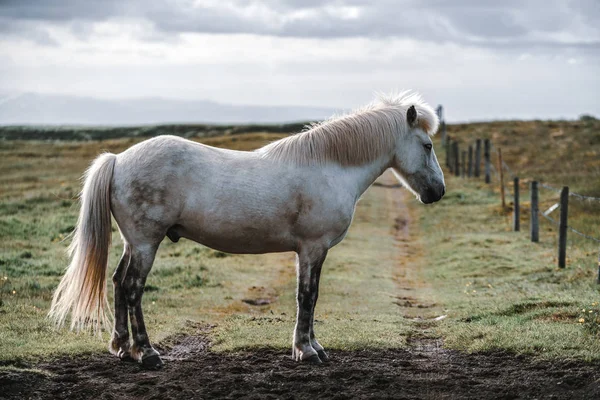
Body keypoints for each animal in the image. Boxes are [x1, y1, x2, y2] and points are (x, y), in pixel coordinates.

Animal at [49, 90, 446, 368]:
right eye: (427, 145)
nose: (438, 192)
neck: (329, 166)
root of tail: (118, 160)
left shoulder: (311, 252)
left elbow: (311, 296)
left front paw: (313, 346)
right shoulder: (312, 248)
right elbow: (308, 296)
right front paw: (306, 351)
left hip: (134, 244)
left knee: (118, 283)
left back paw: (121, 348)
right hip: (146, 244)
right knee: (132, 288)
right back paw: (146, 353)